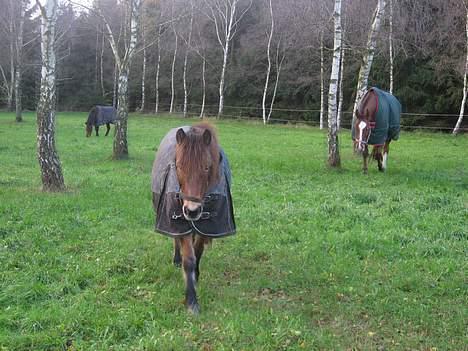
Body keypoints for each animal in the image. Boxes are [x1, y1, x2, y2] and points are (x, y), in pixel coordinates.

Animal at [152, 124, 236, 316]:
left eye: (206, 167)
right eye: (179, 166)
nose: (192, 210)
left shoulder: (206, 226)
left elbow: (197, 251)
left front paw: (196, 277)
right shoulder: (180, 221)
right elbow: (188, 259)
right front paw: (191, 300)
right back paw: (176, 259)